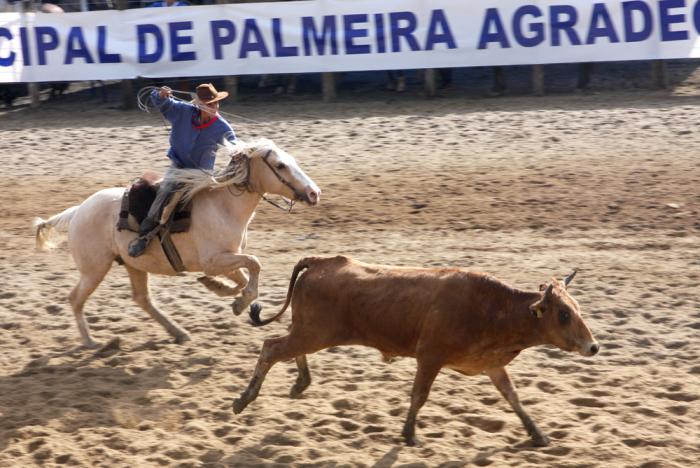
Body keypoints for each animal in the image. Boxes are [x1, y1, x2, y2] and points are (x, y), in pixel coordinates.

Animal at [35, 138, 322, 348]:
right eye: (281, 165)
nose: (314, 193)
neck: (224, 207)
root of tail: (77, 212)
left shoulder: (227, 258)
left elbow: (243, 278)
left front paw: (221, 290)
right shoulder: (214, 260)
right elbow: (254, 264)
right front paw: (236, 301)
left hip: (133, 265)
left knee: (142, 299)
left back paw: (178, 332)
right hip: (94, 269)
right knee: (75, 299)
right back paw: (90, 341)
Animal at [234, 256, 596, 446]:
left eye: (577, 308)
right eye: (563, 314)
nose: (593, 346)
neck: (492, 309)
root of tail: (324, 261)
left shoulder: (491, 363)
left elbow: (513, 397)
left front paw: (537, 434)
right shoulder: (430, 357)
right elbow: (419, 395)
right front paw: (409, 434)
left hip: (309, 332)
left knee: (283, 346)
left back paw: (300, 382)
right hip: (314, 333)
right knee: (271, 348)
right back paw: (244, 398)